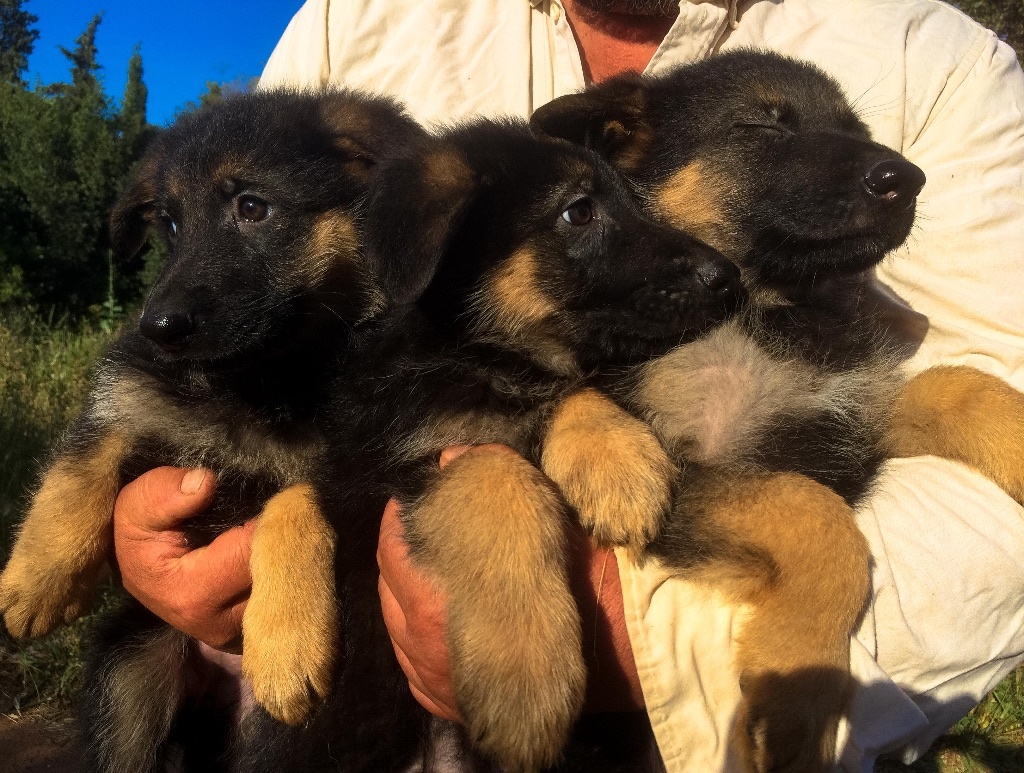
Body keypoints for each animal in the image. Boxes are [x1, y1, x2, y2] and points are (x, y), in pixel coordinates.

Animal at [0, 90, 428, 773]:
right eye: (170, 225)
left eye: (252, 207)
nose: (157, 326)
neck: (263, 381)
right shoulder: (139, 390)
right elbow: (85, 453)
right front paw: (34, 580)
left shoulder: (356, 469)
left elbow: (292, 502)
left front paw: (286, 645)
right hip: (131, 669)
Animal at [532, 49, 1024, 773]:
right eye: (761, 125)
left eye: (855, 129)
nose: (906, 179)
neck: (769, 312)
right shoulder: (696, 476)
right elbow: (819, 519)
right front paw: (797, 689)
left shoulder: (847, 417)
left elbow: (960, 386)